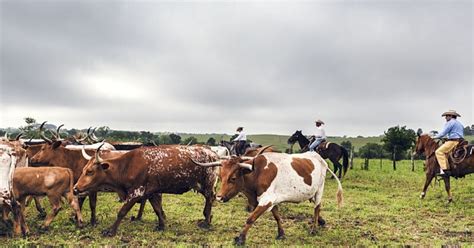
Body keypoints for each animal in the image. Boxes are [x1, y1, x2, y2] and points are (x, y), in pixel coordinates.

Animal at [74, 145, 220, 236]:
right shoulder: (151, 192)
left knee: (210, 198)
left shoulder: (135, 193)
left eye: (90, 171)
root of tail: (213, 153)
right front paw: (161, 226)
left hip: (208, 184)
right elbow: (157, 209)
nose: (75, 188)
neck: (127, 166)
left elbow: (122, 212)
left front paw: (110, 231)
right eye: (83, 170)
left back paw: (207, 221)